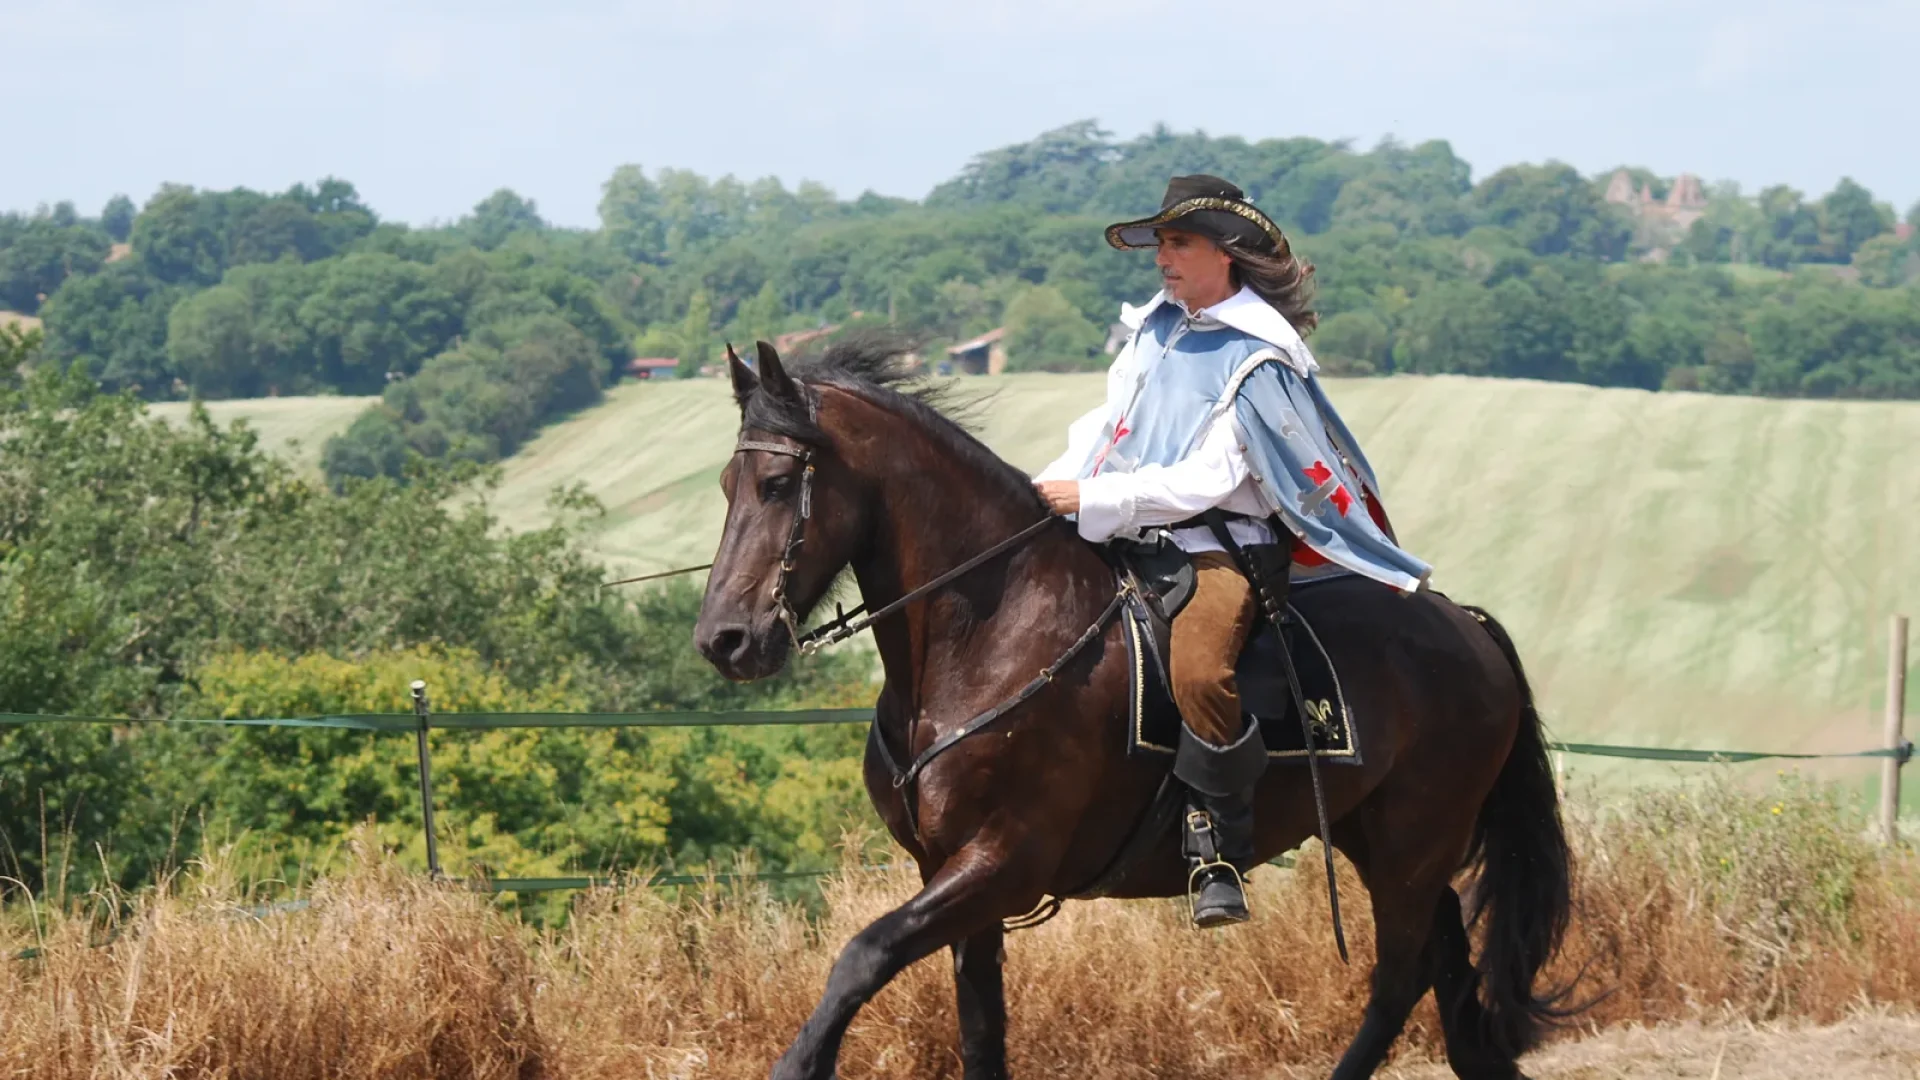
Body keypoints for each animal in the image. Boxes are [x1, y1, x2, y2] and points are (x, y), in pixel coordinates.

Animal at [698, 338, 1566, 1076]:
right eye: (727, 487)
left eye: (778, 486)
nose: (724, 640)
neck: (990, 633)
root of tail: (1465, 625)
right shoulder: (951, 875)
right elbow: (979, 1028)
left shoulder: (1002, 864)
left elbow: (863, 954)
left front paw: (800, 1064)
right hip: (1375, 834)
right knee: (1443, 959)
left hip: (1414, 842)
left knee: (1398, 977)